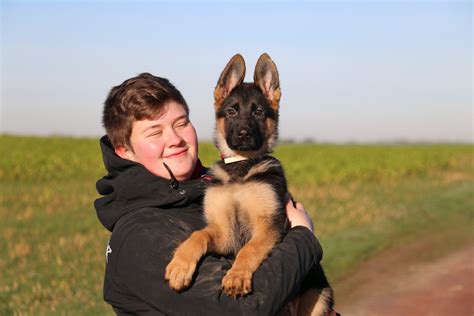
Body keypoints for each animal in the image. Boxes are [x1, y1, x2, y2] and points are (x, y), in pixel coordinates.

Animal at [166, 53, 334, 314]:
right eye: (232, 111)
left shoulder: (268, 225)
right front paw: (180, 265)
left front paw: (237, 276)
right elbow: (198, 235)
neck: (241, 167)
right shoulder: (224, 233)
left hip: (320, 297)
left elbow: (249, 250)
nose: (243, 133)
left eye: (258, 112)